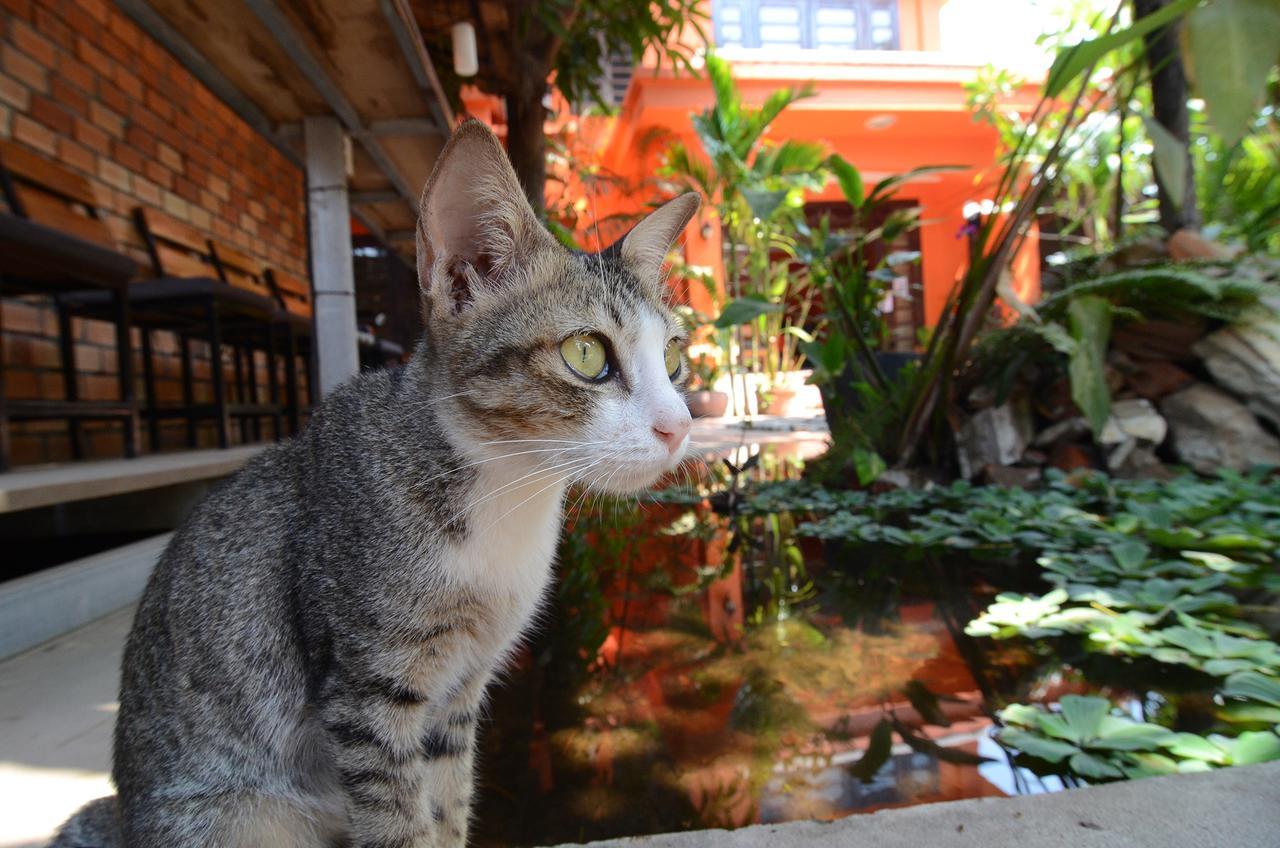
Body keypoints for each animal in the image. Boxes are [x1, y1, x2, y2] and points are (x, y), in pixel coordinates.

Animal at [55, 119, 701, 848]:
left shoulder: (459, 694)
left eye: (672, 357)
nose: (680, 426)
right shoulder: (365, 686)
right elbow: (397, 823)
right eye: (587, 354)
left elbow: (447, 807)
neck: (504, 497)